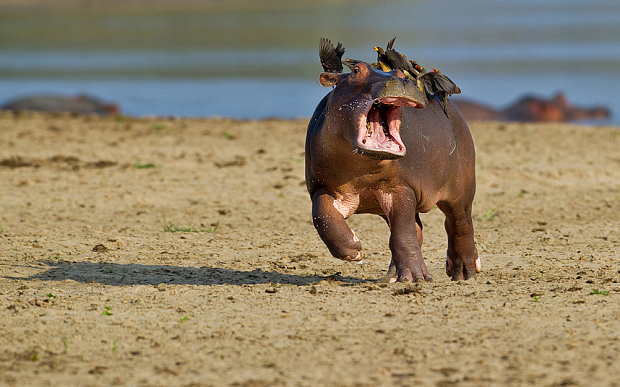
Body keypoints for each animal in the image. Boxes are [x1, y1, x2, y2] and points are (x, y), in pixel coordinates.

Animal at [306, 63, 480, 282]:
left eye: (399, 73)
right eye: (356, 70)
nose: (400, 80)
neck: (363, 169)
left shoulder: (401, 187)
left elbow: (403, 233)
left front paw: (415, 278)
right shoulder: (322, 187)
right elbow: (323, 216)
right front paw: (353, 250)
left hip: (461, 189)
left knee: (459, 224)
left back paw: (464, 273)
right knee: (418, 230)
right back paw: (392, 276)